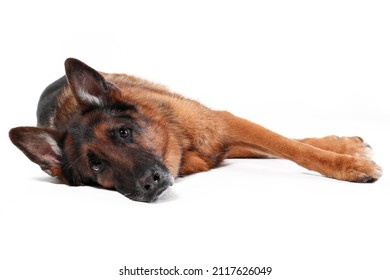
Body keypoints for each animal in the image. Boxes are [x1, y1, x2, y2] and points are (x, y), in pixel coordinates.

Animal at [8, 58, 380, 201]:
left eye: (123, 133)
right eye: (96, 165)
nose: (149, 182)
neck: (181, 148)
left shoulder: (224, 122)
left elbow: (294, 148)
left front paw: (348, 164)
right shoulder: (223, 136)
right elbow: (284, 145)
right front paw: (348, 158)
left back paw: (345, 145)